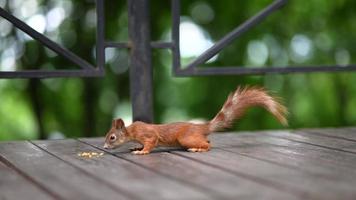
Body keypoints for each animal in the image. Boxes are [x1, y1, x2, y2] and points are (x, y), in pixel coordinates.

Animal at [103, 86, 286, 155]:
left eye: (112, 137)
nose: (104, 147)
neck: (132, 131)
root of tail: (202, 127)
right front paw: (136, 146)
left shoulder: (148, 134)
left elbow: (151, 143)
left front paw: (142, 151)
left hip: (186, 138)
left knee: (208, 145)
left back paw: (198, 149)